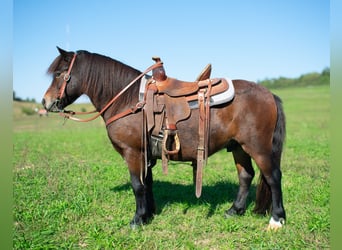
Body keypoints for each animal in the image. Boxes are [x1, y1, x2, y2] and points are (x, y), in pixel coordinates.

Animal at [42, 47, 286, 230]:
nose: (46, 102)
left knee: (273, 177)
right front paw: (149, 214)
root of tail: (268, 93)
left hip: (258, 147)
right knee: (246, 176)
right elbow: (146, 183)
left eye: (59, 73)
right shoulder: (145, 154)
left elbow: (137, 185)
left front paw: (137, 219)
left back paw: (277, 219)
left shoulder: (132, 153)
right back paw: (235, 210)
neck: (128, 100)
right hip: (238, 147)